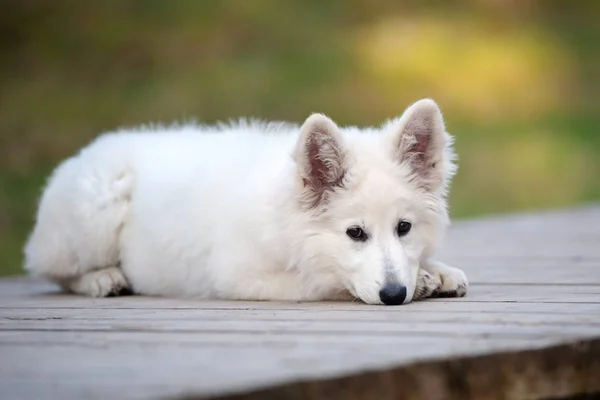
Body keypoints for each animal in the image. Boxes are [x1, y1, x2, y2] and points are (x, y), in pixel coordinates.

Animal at [25, 98, 468, 304]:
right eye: (355, 233)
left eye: (404, 228)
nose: (394, 295)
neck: (288, 222)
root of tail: (85, 152)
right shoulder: (238, 275)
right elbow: (321, 282)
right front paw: (423, 280)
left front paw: (437, 271)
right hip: (97, 215)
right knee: (53, 270)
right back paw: (103, 278)